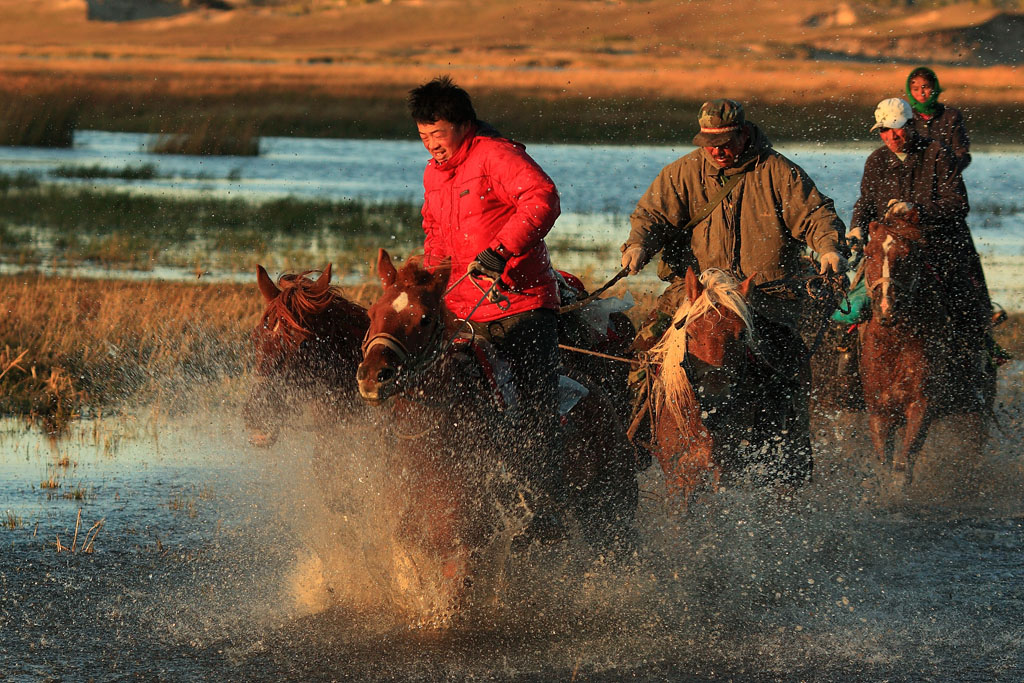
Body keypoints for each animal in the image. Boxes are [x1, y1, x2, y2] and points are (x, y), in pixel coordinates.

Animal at [356, 250, 634, 614]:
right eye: (373, 312)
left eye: (425, 319)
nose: (374, 375)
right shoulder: (412, 543)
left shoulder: (467, 547)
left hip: (612, 511)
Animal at [856, 218, 991, 485]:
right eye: (868, 254)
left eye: (907, 256)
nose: (886, 308)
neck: (895, 345)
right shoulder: (880, 412)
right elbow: (885, 464)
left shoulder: (921, 406)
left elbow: (903, 466)